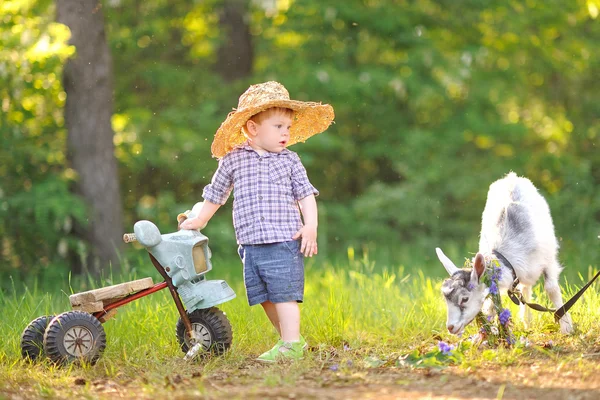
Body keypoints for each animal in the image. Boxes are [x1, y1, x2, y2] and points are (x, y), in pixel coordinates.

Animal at [436, 172, 572, 334]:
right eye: (446, 300)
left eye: (464, 299)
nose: (450, 327)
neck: (508, 258)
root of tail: (511, 177)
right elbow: (492, 304)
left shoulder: (549, 261)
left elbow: (551, 289)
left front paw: (567, 327)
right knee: (525, 288)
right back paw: (527, 321)